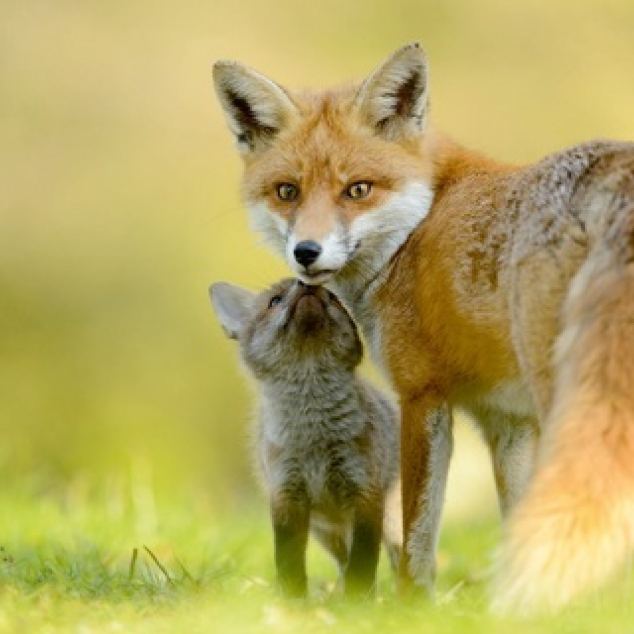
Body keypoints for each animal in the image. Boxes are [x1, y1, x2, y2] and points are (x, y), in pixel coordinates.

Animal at [211, 42, 632, 608]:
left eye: (357, 190)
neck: (419, 224)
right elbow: (519, 518)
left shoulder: (421, 395)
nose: (306, 253)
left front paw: (412, 606)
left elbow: (416, 531)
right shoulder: (507, 420)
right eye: (287, 191)